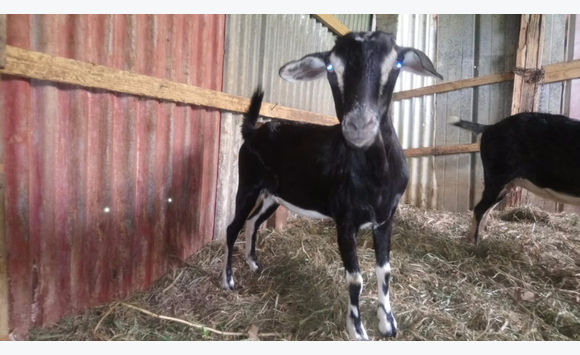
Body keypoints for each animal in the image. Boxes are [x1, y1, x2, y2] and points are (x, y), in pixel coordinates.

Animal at [223, 32, 444, 340]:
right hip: (247, 183)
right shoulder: (345, 220)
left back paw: (254, 263)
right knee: (233, 226)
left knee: (253, 221)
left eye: (397, 62)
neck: (375, 175)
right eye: (330, 67)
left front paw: (387, 323)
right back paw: (228, 280)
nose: (359, 125)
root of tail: (253, 131)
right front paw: (358, 330)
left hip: (272, 195)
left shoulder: (386, 218)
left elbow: (385, 270)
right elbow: (355, 278)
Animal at [454, 113, 580, 245]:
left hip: (506, 184)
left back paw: (481, 236)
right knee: (479, 208)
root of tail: (489, 127)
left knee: (487, 208)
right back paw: (474, 242)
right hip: (496, 177)